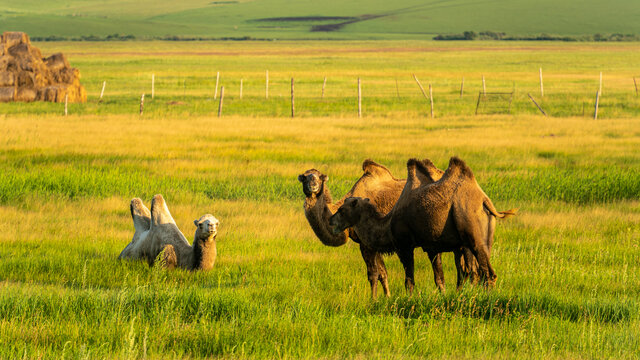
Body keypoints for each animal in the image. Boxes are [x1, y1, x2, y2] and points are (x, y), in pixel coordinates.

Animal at [330, 156, 516, 294]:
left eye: (342, 209)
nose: (331, 221)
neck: (387, 225)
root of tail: (484, 200)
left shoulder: (404, 246)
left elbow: (409, 281)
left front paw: (408, 300)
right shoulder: (431, 246)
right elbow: (439, 278)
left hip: (471, 229)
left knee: (486, 273)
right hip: (483, 237)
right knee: (478, 271)